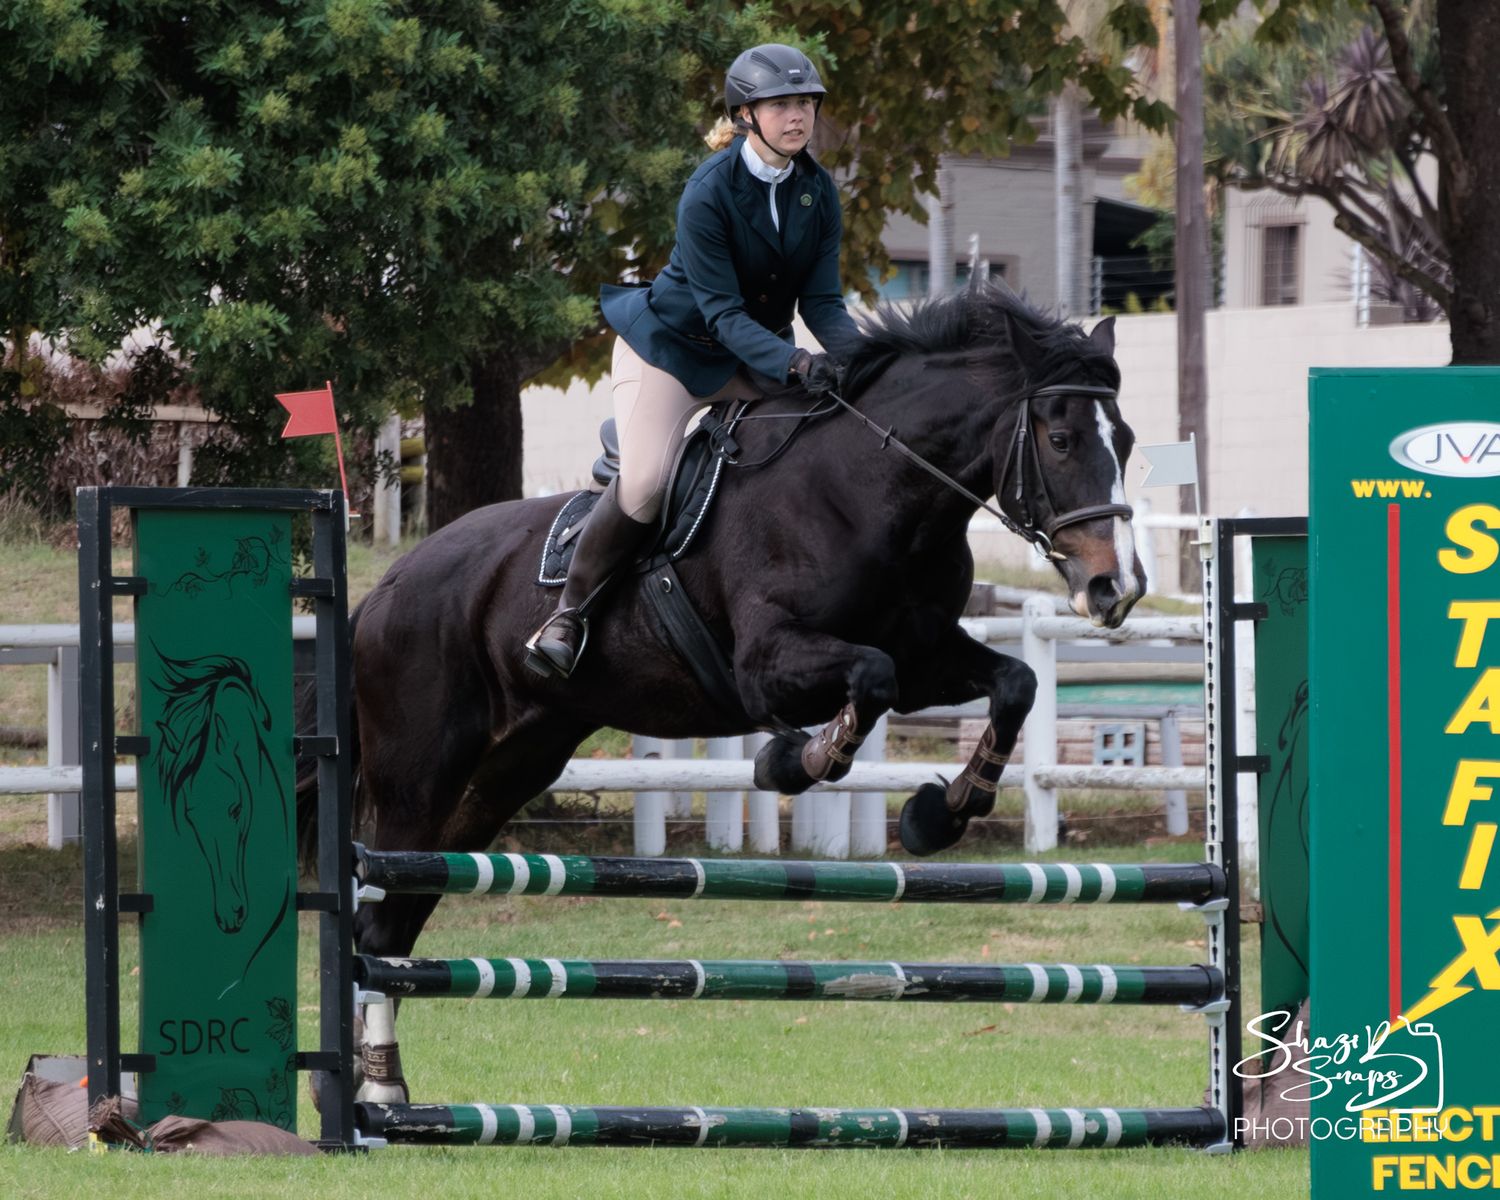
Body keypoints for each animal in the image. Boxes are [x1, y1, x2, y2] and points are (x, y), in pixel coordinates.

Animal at [305, 282, 1147, 1101]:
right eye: (1061, 439)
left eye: (1129, 441)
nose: (1116, 589)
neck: (873, 493)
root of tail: (381, 592)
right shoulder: (771, 662)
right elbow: (866, 678)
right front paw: (796, 762)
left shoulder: (927, 654)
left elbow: (1014, 682)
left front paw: (942, 811)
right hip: (419, 774)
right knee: (379, 922)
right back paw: (377, 1089)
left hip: (505, 772)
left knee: (402, 921)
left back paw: (378, 1083)